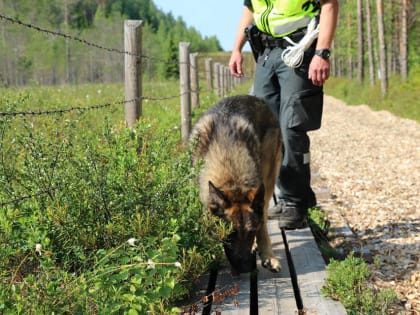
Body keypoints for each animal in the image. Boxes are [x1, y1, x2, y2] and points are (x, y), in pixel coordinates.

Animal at [190, 94, 282, 274]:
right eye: (230, 234)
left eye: (251, 232)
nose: (246, 269)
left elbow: (261, 226)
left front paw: (266, 254)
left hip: (267, 181)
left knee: (264, 216)